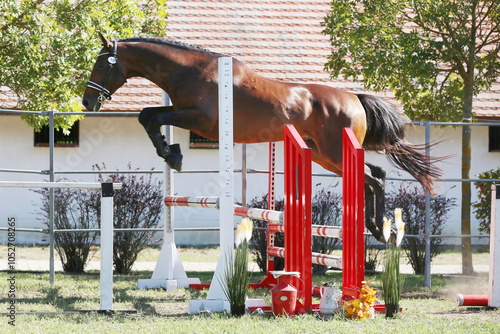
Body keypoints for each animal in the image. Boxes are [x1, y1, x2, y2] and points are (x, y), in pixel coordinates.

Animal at [82, 33, 442, 243]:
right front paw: (172, 151)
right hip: (326, 155)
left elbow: (152, 116)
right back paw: (372, 226)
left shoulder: (203, 120)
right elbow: (147, 115)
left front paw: (172, 154)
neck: (190, 71)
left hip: (334, 152)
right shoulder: (183, 112)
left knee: (372, 178)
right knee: (373, 175)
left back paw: (378, 229)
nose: (87, 103)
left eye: (100, 65)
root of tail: (354, 98)